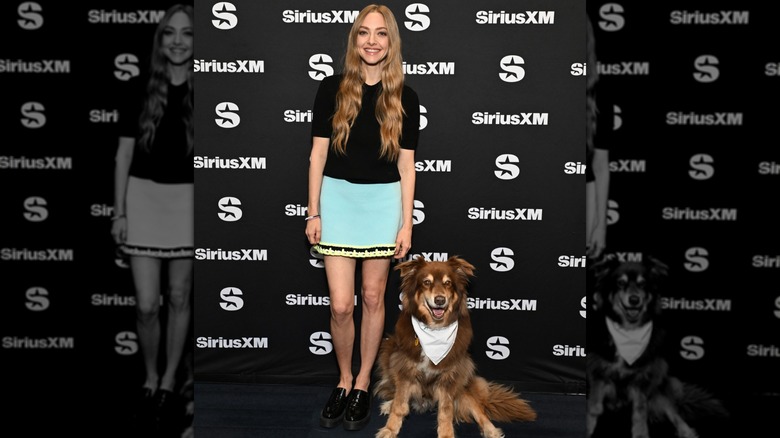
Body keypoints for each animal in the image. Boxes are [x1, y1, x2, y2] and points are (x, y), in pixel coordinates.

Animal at [374, 256, 536, 438]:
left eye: (448, 283)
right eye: (426, 282)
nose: (440, 300)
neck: (435, 331)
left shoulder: (449, 377)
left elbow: (446, 412)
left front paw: (446, 434)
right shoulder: (405, 370)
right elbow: (400, 405)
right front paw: (390, 428)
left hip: (463, 384)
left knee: (479, 410)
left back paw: (491, 430)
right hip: (388, 348)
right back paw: (389, 404)